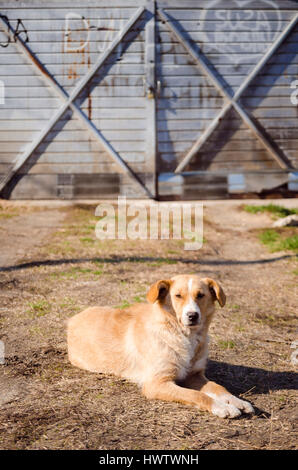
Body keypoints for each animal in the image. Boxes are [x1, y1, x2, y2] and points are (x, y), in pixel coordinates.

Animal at [67, 274, 254, 416]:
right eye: (178, 296)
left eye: (201, 295)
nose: (192, 316)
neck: (182, 336)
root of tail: (74, 317)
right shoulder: (156, 383)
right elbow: (197, 395)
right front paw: (222, 407)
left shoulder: (194, 375)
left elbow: (218, 387)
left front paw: (237, 401)